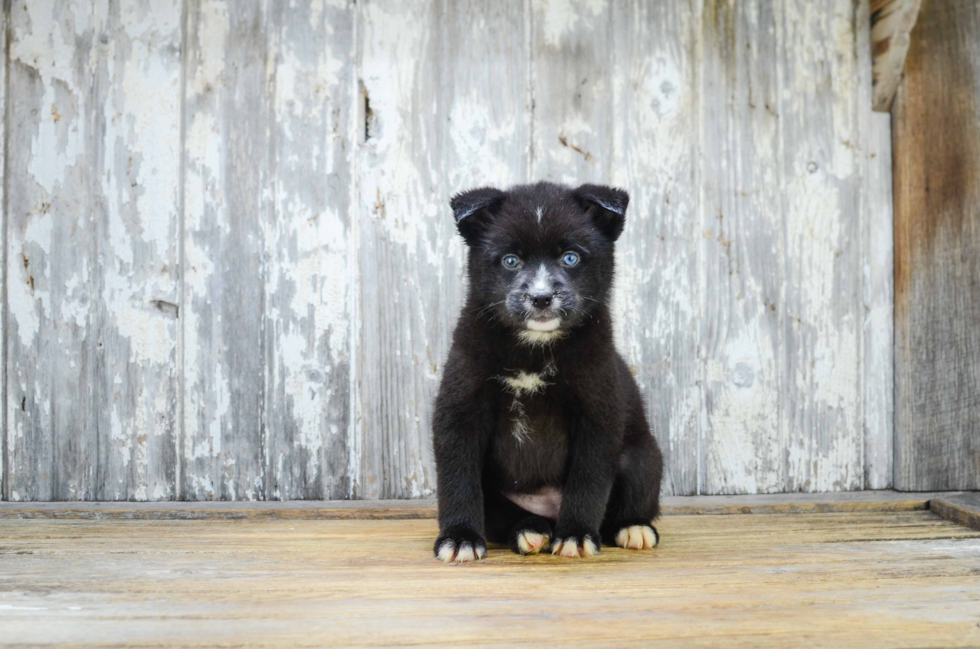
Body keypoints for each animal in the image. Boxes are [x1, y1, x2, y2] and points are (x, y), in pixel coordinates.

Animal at [432, 180, 664, 560]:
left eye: (570, 257)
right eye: (511, 261)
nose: (541, 298)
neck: (534, 349)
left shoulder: (597, 410)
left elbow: (588, 480)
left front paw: (576, 535)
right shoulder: (460, 406)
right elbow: (457, 480)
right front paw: (460, 537)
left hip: (643, 459)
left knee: (630, 498)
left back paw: (633, 528)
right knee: (507, 516)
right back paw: (529, 530)